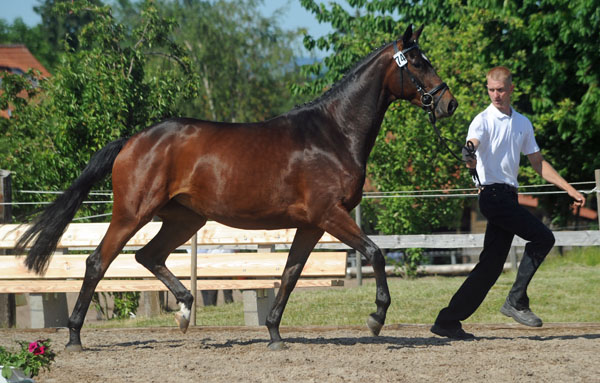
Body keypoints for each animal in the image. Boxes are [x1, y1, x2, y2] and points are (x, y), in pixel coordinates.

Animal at [15, 25, 460, 352]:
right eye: (417, 62)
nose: (448, 104)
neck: (332, 134)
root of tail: (132, 140)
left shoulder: (311, 224)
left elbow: (290, 274)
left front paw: (275, 334)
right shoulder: (330, 215)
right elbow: (375, 254)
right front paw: (375, 319)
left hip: (185, 219)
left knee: (148, 256)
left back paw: (184, 312)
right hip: (131, 213)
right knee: (97, 262)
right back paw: (75, 336)